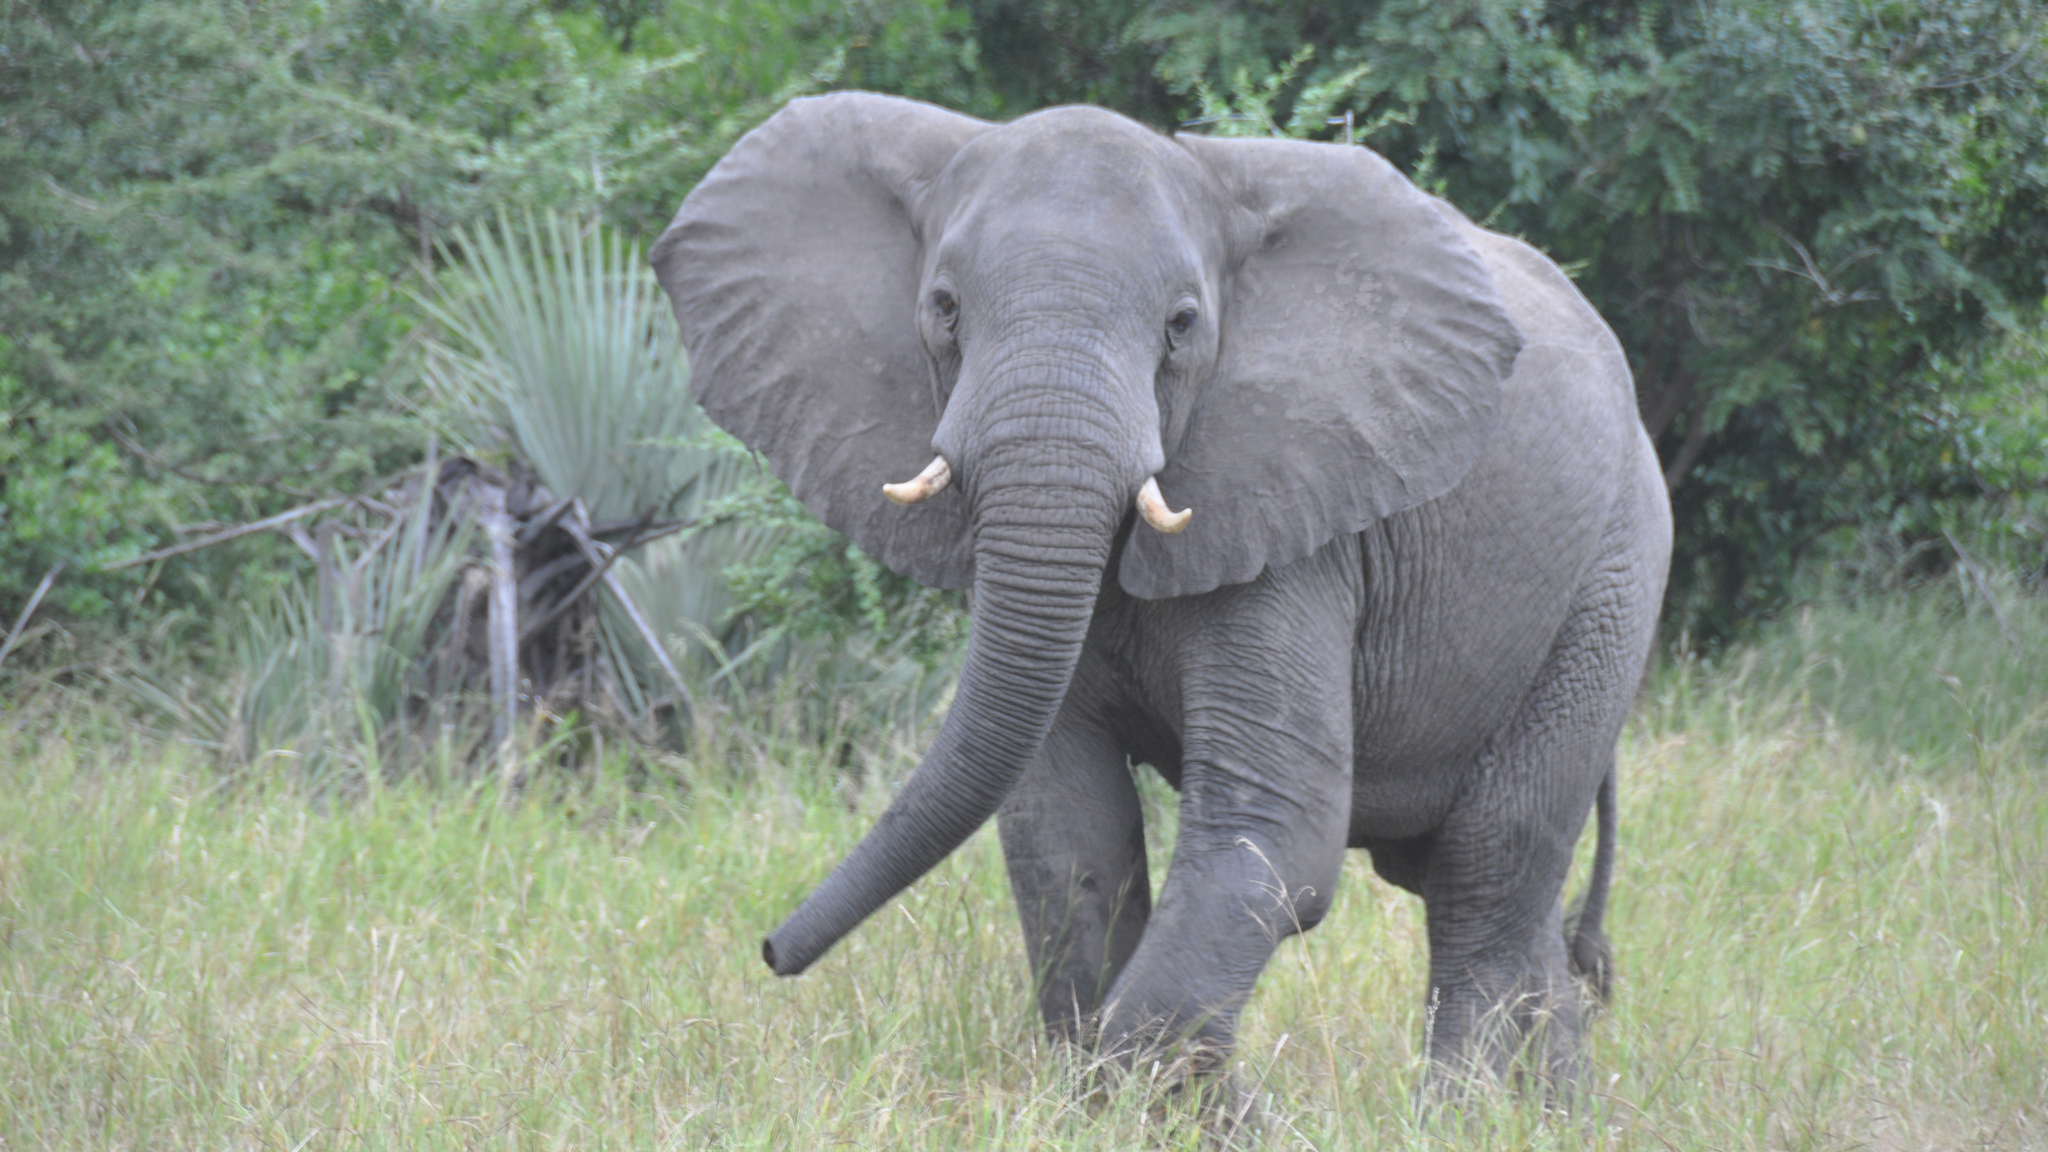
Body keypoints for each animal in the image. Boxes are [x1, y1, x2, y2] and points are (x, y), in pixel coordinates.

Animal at [647, 89, 1671, 1090]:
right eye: (942, 308)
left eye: (1182, 326)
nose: (770, 949)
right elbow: (1066, 835)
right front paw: (1122, 1099)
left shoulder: (1292, 516)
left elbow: (1273, 833)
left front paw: (1173, 1099)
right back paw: (1553, 1114)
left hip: (1610, 581)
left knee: (1488, 867)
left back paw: (1455, 1114)